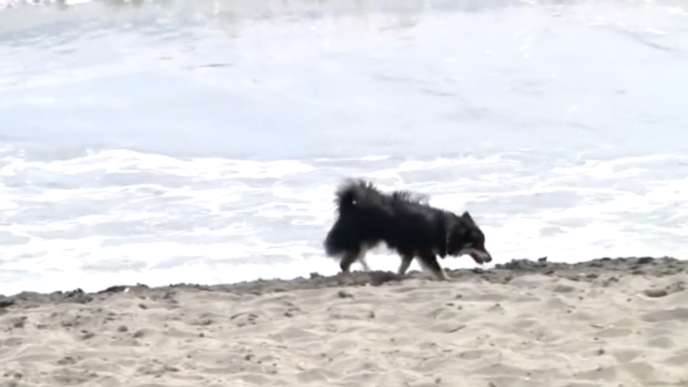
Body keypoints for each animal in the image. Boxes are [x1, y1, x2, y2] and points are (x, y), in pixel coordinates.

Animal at [326, 179, 492, 282]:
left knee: (351, 260)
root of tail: (348, 205)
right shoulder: (425, 252)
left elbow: (403, 267)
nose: (490, 258)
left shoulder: (411, 251)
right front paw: (447, 279)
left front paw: (398, 276)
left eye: (483, 244)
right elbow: (438, 268)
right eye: (478, 245)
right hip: (360, 241)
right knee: (345, 263)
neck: (446, 230)